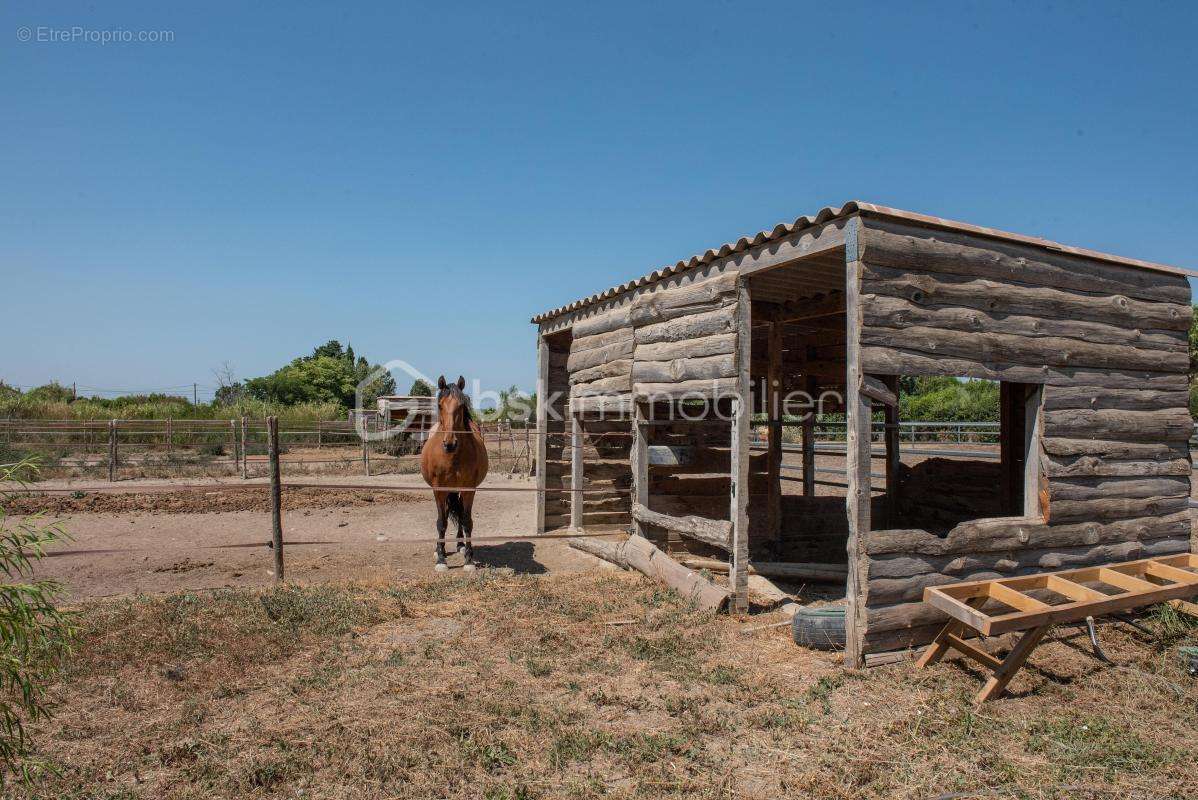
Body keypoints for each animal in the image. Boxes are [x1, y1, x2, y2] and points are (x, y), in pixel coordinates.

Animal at [416, 376, 481, 567]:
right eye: (439, 405)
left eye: (461, 405)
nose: (450, 443)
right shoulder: (439, 490)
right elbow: (441, 522)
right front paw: (441, 558)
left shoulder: (469, 490)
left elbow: (466, 521)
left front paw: (469, 559)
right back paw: (440, 548)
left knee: (459, 513)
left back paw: (460, 545)